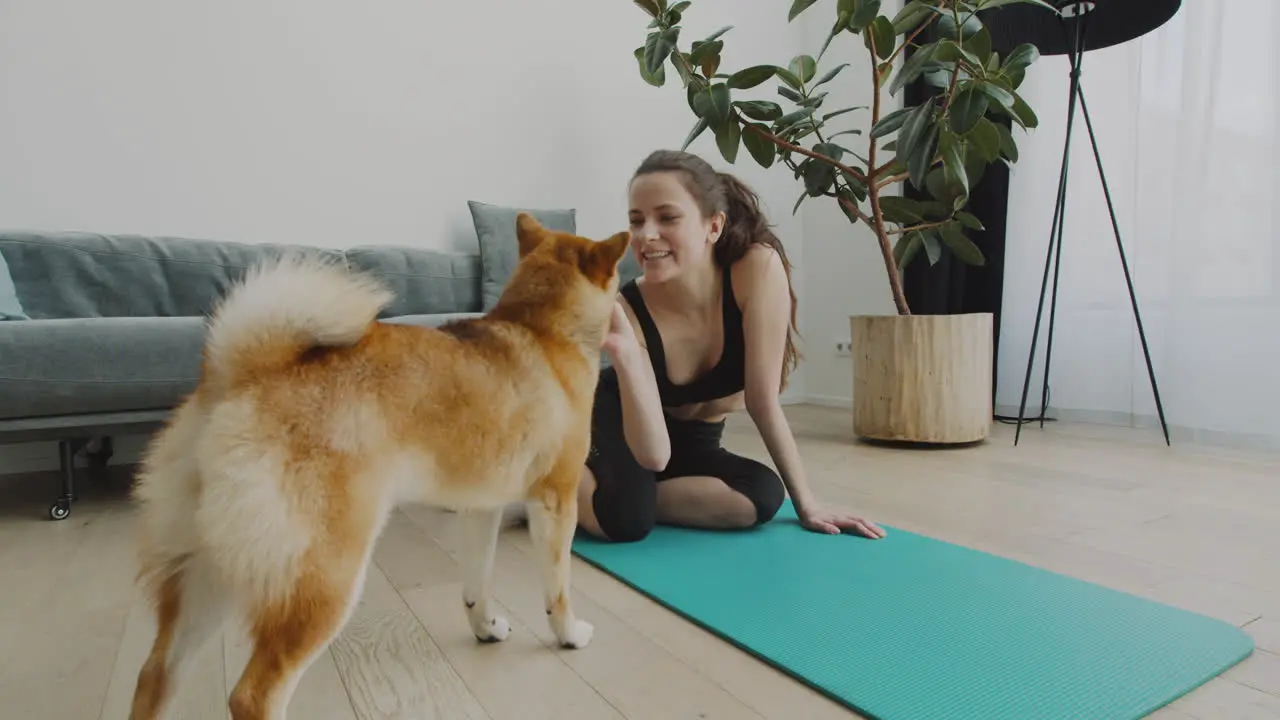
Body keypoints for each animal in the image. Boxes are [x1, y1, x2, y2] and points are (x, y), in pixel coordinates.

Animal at [129, 213, 629, 717]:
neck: (545, 331)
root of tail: (241, 377)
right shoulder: (556, 500)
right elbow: (557, 588)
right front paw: (569, 634)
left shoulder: (481, 508)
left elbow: (477, 582)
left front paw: (485, 627)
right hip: (324, 581)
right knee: (253, 695)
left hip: (206, 574)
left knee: (154, 673)